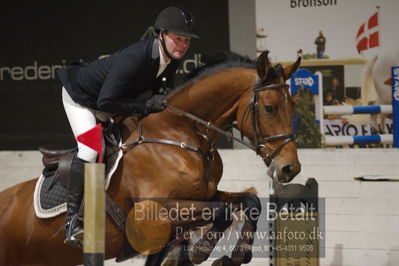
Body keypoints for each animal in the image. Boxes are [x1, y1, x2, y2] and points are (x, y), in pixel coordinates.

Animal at [0, 50, 300, 266]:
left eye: (294, 107)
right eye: (269, 108)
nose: (290, 169)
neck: (181, 133)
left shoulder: (203, 196)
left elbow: (248, 202)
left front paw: (236, 254)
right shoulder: (152, 211)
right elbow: (222, 212)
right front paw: (197, 253)